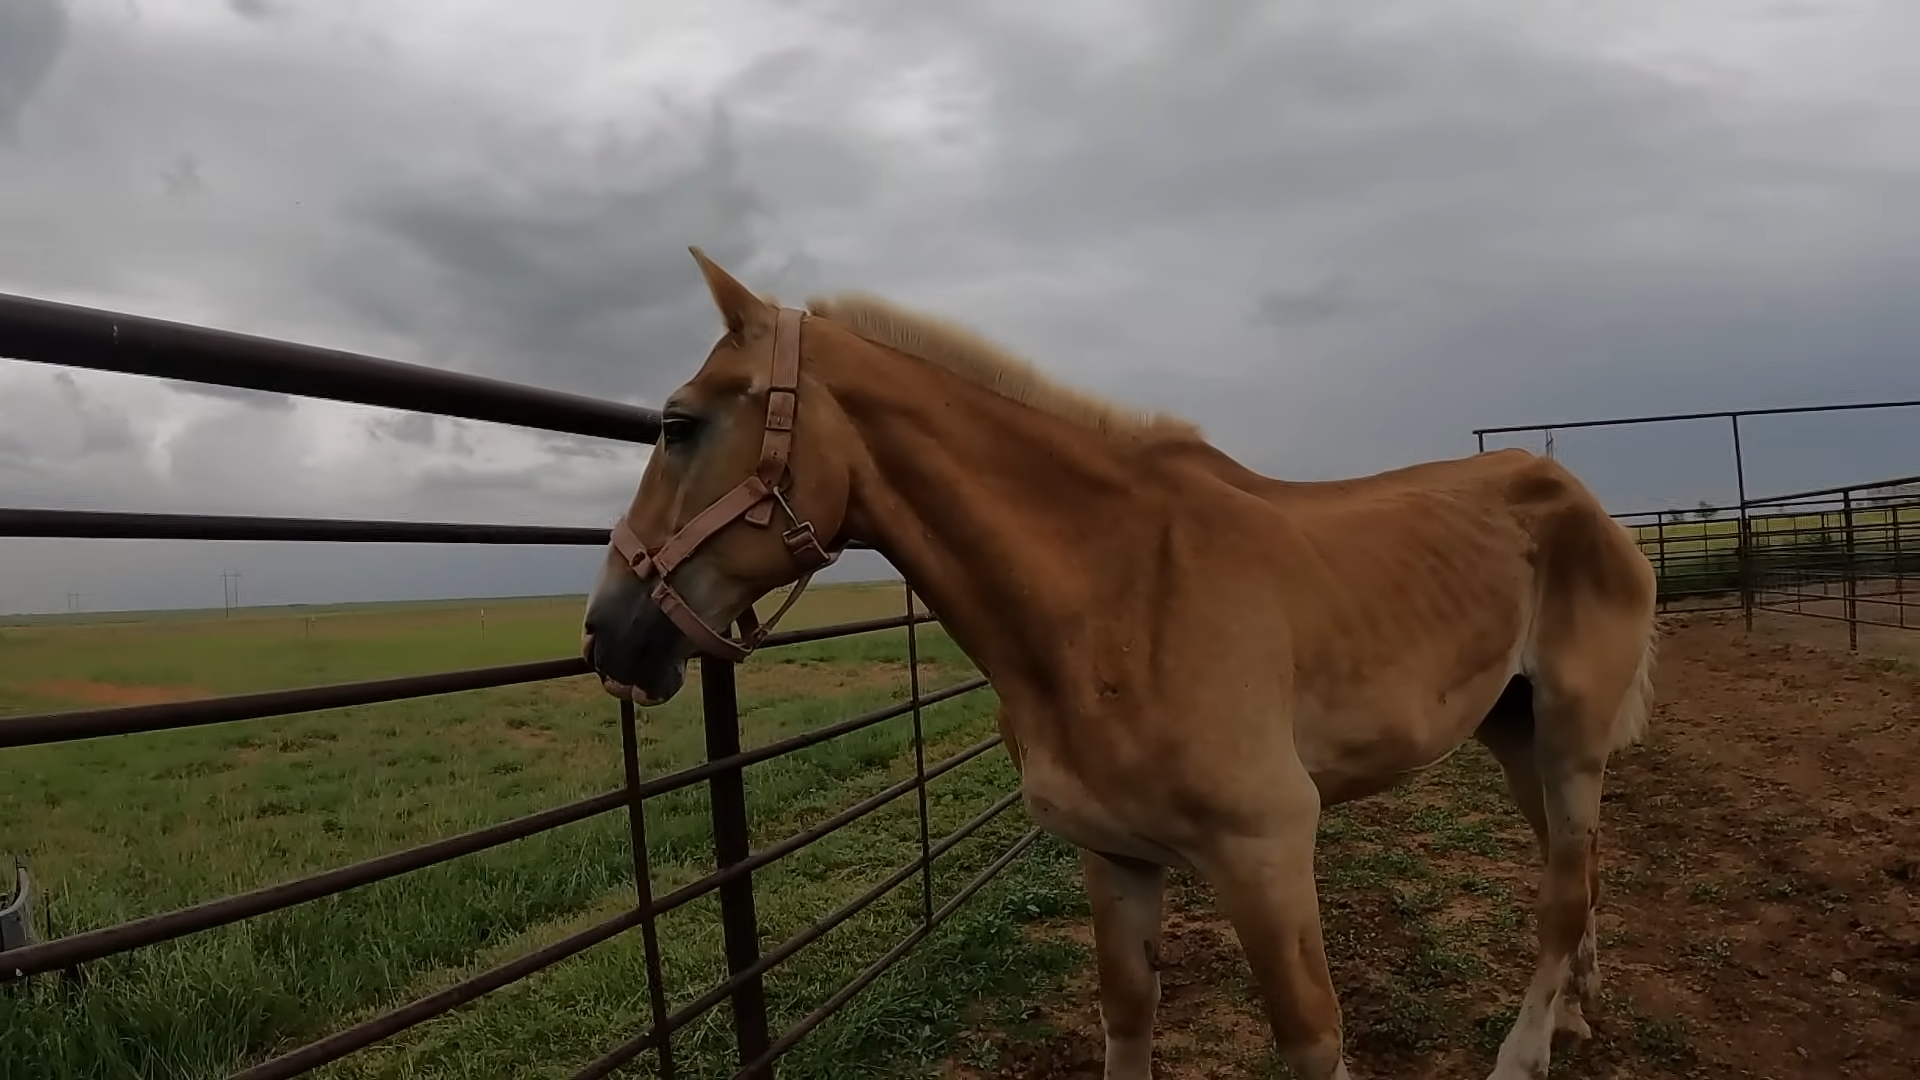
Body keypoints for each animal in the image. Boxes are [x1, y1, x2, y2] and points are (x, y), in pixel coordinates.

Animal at [576, 245, 1658, 1076]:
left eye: (678, 424)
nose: (610, 634)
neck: (1118, 597)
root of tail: (1575, 495)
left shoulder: (1267, 851)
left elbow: (1312, 1036)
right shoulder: (1116, 856)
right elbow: (1128, 1016)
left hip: (1570, 736)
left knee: (1562, 895)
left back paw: (1525, 1052)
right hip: (1514, 733)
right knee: (1577, 877)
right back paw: (1573, 1009)